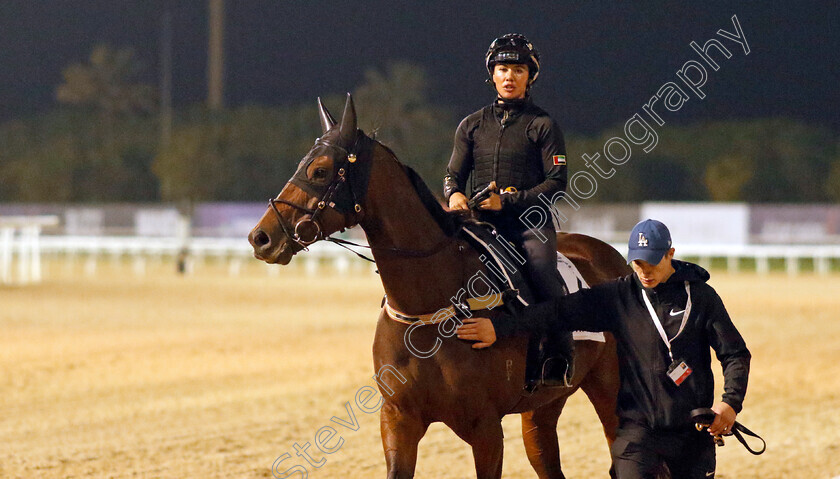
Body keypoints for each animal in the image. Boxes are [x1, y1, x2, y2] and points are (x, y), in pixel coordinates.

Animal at [249, 94, 632, 479]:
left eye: (321, 170)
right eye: (303, 164)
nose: (261, 237)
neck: (429, 307)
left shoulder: (486, 427)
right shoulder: (398, 420)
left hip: (610, 390)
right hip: (543, 407)